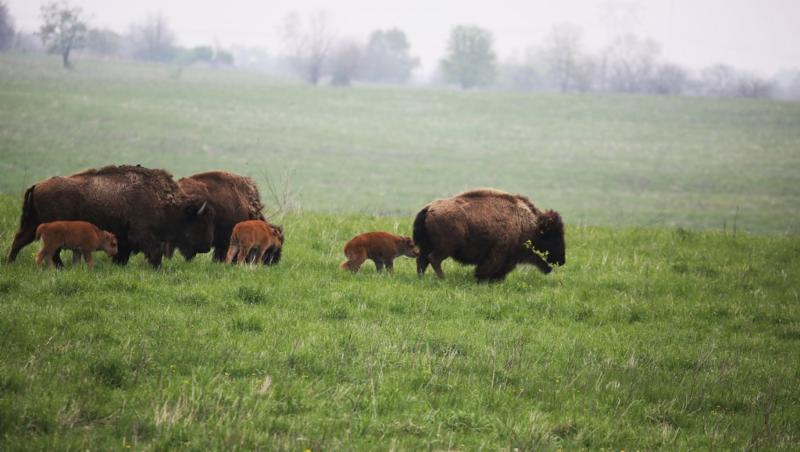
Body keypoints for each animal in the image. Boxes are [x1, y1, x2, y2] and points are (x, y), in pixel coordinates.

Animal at [6, 165, 215, 268]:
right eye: (199, 222)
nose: (206, 246)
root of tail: (37, 185)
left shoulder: (124, 239)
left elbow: (123, 254)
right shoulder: (141, 234)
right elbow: (154, 251)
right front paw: (157, 267)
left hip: (33, 223)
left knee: (19, 240)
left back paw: (11, 263)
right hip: (53, 229)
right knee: (51, 251)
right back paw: (59, 268)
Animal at [413, 188, 565, 282]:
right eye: (554, 236)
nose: (562, 261)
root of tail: (429, 208)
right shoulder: (498, 253)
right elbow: (487, 268)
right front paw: (482, 279)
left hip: (427, 245)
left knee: (422, 260)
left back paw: (422, 279)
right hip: (445, 248)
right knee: (433, 259)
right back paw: (443, 279)